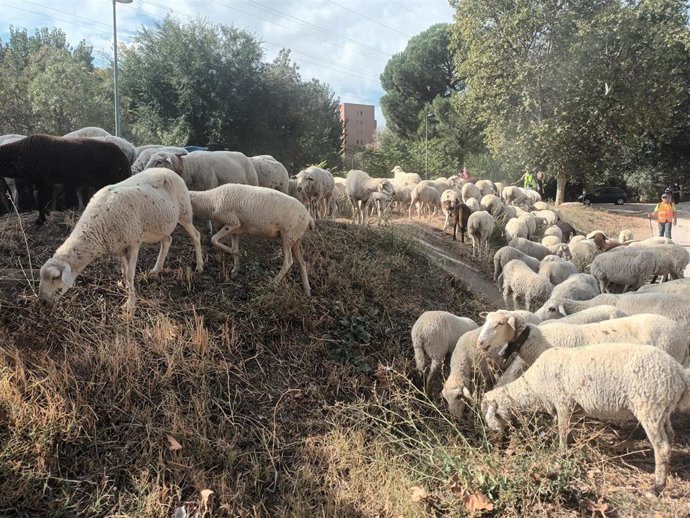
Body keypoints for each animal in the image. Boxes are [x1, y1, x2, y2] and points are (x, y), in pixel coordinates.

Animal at [38, 168, 203, 309]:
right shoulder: (118, 246)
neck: (96, 225)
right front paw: (125, 286)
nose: (43, 302)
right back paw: (156, 269)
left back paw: (200, 265)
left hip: (185, 212)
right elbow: (124, 271)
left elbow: (130, 274)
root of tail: (169, 170)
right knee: (167, 240)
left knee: (196, 235)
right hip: (160, 225)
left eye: (55, 277)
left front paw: (130, 302)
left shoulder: (133, 243)